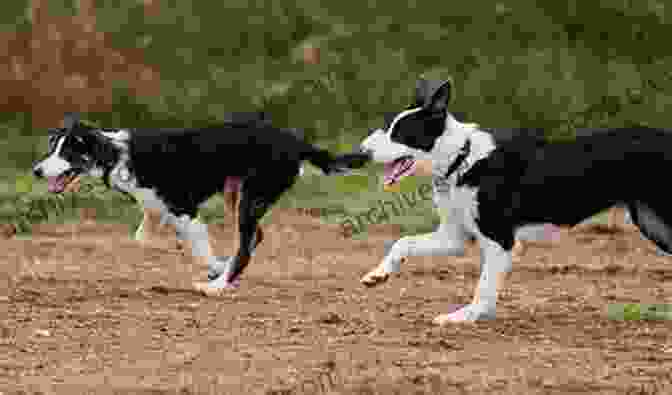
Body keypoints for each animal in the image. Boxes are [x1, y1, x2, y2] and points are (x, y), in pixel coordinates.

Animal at [34, 113, 370, 296]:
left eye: (68, 152)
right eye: (53, 148)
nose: (36, 171)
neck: (117, 156)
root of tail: (296, 141)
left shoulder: (185, 210)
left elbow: (199, 250)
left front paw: (215, 269)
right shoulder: (161, 212)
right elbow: (151, 239)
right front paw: (213, 265)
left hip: (250, 198)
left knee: (246, 247)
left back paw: (217, 286)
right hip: (238, 195)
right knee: (253, 238)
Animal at [360, 78, 672, 324]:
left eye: (400, 134)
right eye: (389, 128)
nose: (361, 152)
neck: (462, 159)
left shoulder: (500, 240)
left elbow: (484, 287)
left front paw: (465, 316)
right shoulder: (455, 236)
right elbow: (404, 242)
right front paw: (378, 275)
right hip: (652, 224)